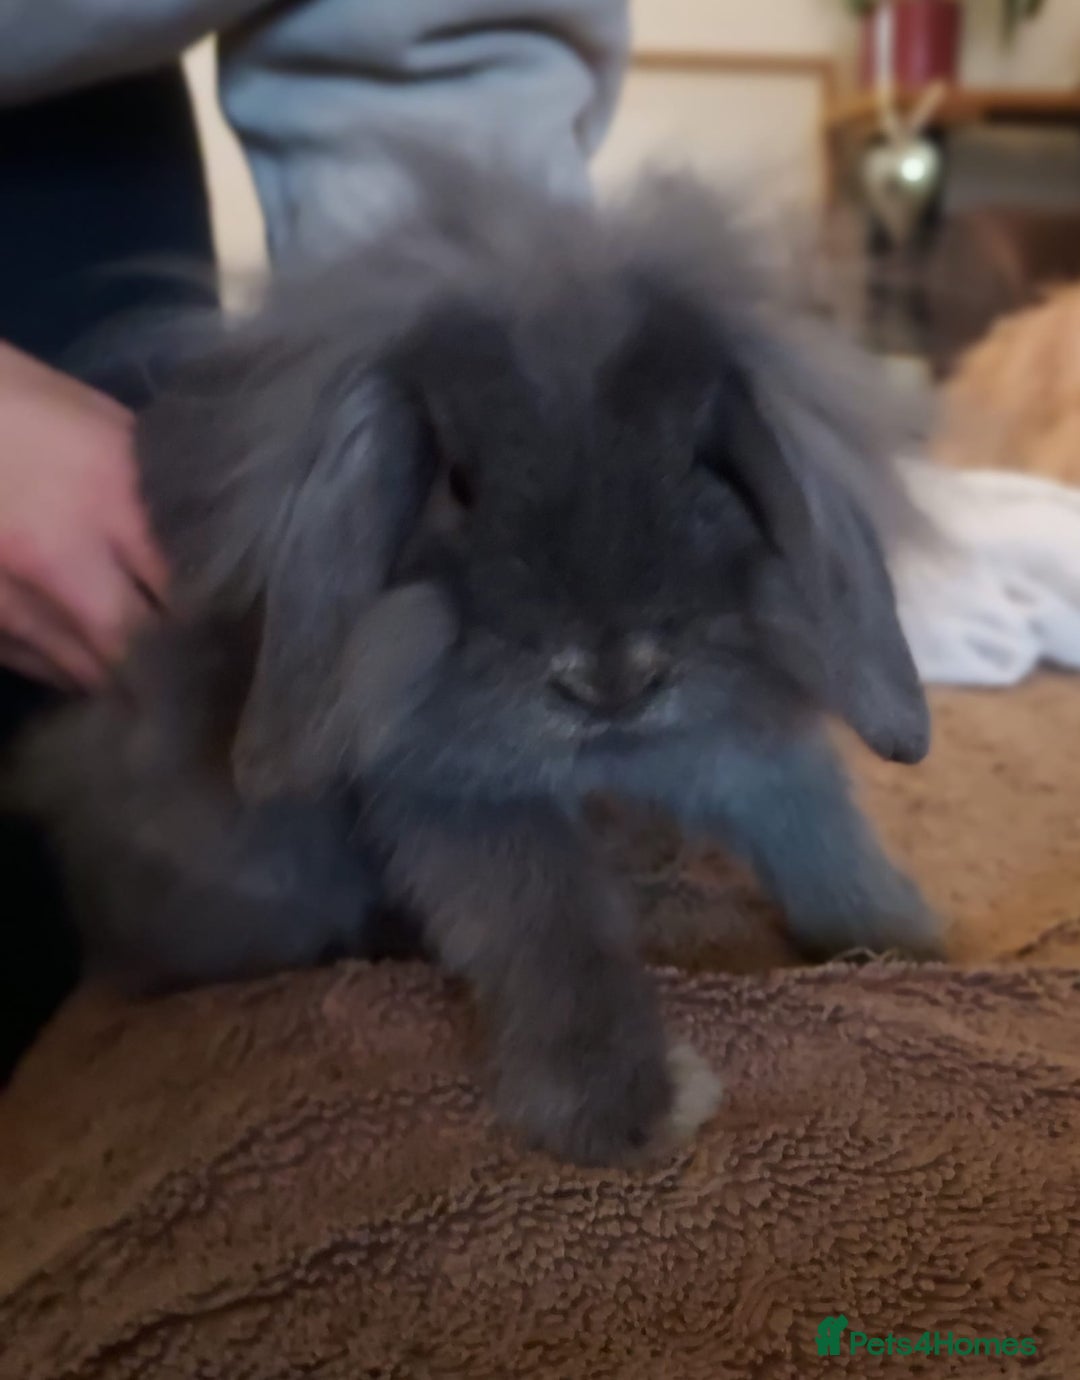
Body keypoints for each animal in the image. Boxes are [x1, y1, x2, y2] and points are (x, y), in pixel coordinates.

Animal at [10, 146, 943, 1164]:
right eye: (459, 482)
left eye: (700, 460)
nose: (609, 680)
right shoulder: (458, 794)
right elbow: (549, 925)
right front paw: (624, 1110)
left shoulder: (746, 741)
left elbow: (818, 834)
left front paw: (906, 943)